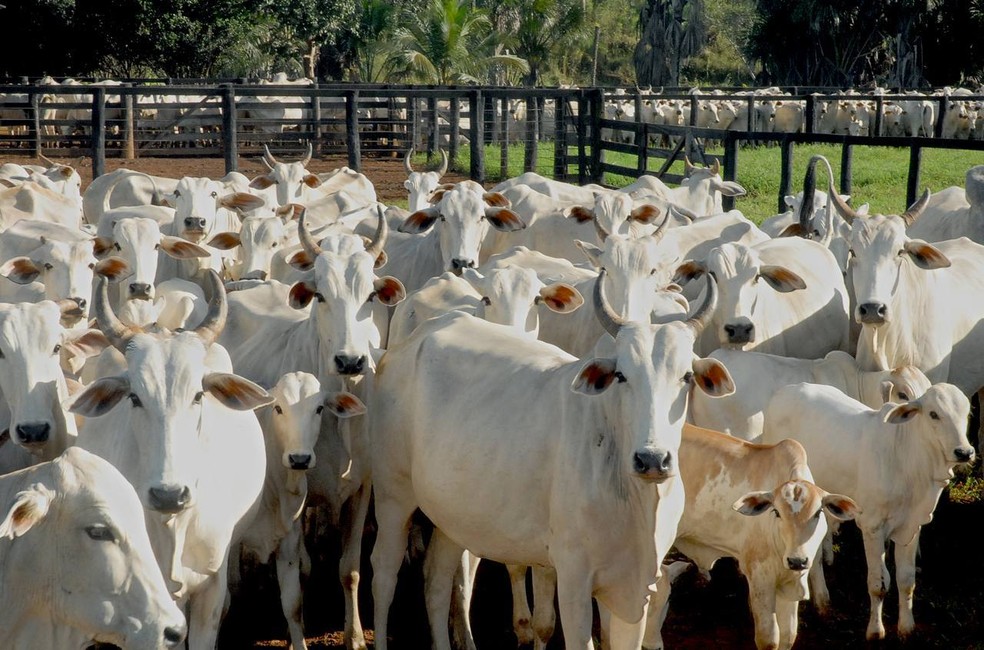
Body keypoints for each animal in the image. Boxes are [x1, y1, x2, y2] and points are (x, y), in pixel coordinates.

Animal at [370, 272, 736, 648]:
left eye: (686, 376)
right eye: (621, 375)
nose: (652, 459)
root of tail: (409, 343)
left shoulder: (636, 588)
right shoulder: (574, 578)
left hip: (451, 516)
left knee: (437, 582)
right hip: (393, 494)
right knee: (383, 574)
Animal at [764, 380, 972, 636]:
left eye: (966, 413)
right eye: (934, 414)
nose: (964, 452)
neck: (907, 458)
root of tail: (785, 389)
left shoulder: (911, 526)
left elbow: (906, 580)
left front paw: (906, 628)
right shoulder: (872, 526)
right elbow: (878, 583)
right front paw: (875, 630)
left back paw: (822, 600)